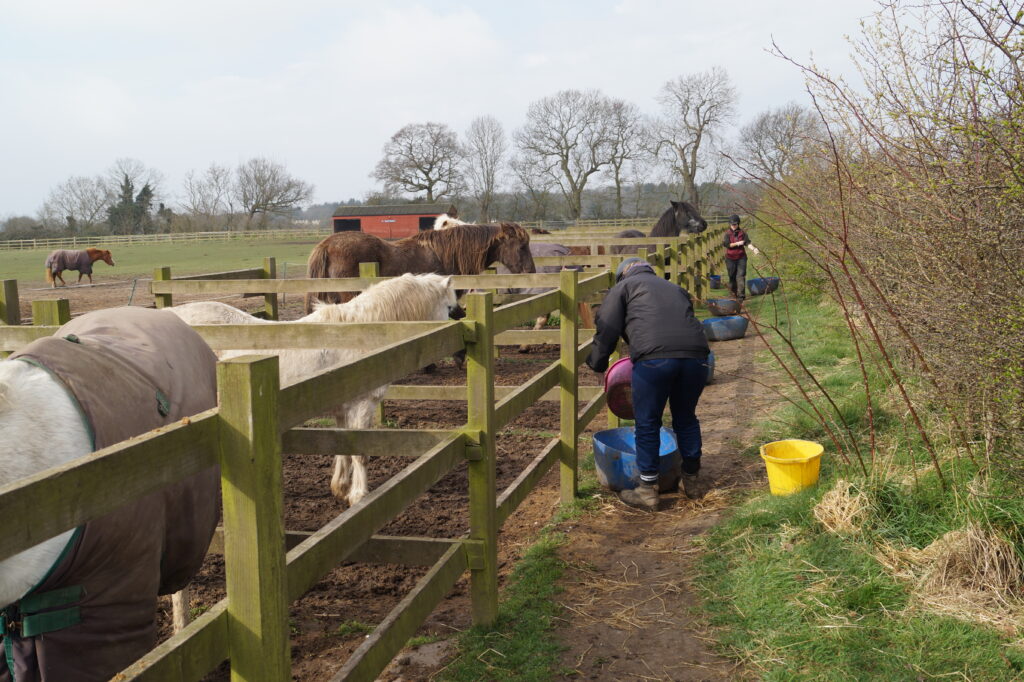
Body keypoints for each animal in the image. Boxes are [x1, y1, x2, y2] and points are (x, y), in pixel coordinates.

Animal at [166, 273, 463, 506]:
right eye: (450, 307)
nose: (460, 353)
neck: (363, 332)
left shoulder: (342, 408)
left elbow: (343, 447)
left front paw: (341, 489)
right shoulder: (361, 405)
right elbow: (360, 452)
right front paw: (359, 496)